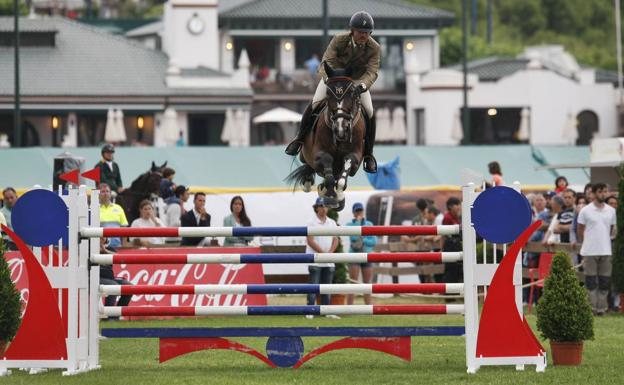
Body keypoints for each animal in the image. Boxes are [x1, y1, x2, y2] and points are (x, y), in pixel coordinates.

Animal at [288, 63, 366, 213]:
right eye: (328, 94)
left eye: (352, 93)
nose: (341, 129)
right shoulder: (319, 154)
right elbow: (327, 164)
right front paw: (330, 197)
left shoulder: (355, 157)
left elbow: (343, 176)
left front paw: (339, 198)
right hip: (305, 154)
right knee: (310, 167)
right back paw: (311, 183)